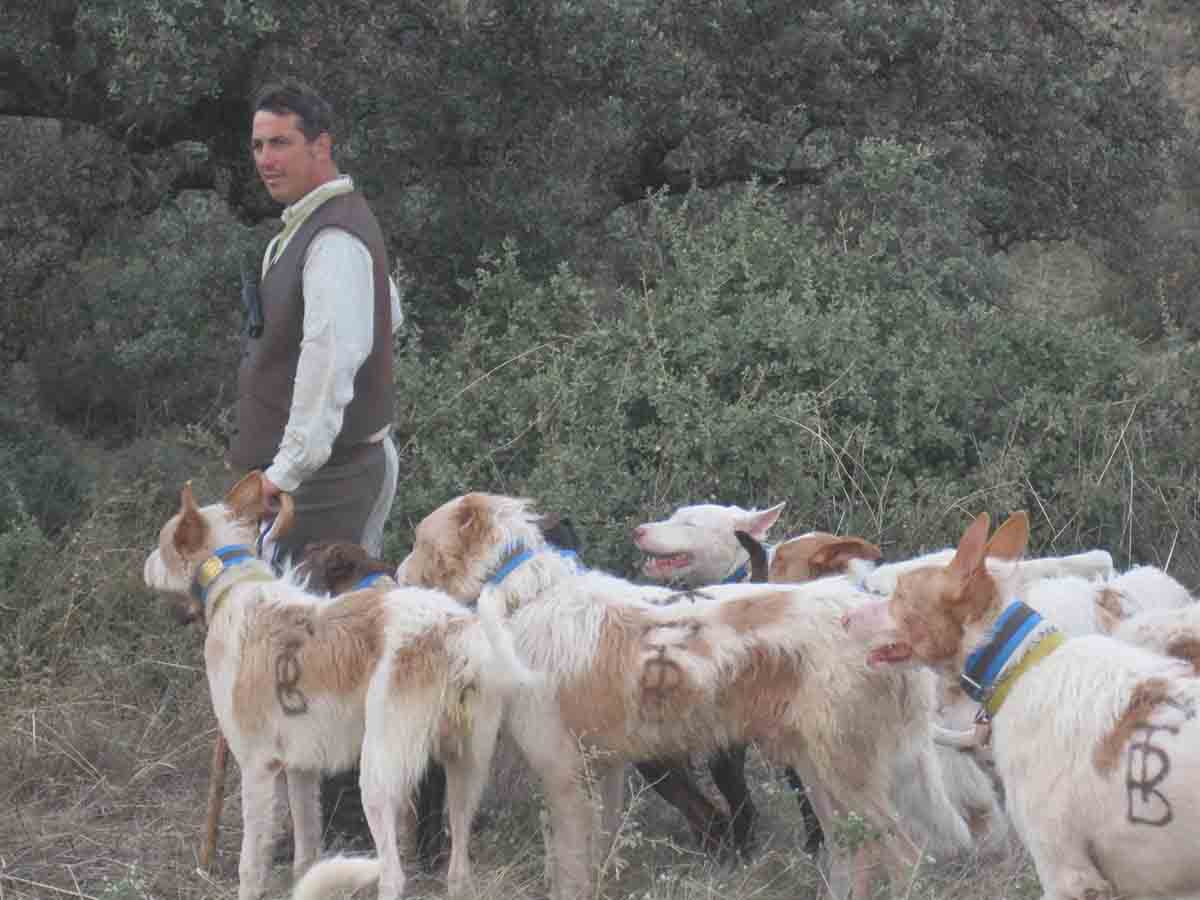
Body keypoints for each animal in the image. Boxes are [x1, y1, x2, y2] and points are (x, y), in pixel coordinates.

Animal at [141, 475, 516, 897]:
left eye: (163, 542)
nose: (144, 565)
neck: (232, 588)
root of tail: (450, 629)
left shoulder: (257, 769)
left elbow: (250, 866)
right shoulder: (301, 770)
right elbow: (306, 853)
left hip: (378, 777)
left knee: (393, 872)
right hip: (464, 772)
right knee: (458, 869)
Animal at [398, 494, 979, 900]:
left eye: (418, 542)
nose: (397, 577)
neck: (532, 594)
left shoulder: (565, 774)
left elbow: (570, 872)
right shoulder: (604, 773)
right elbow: (596, 860)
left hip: (846, 772)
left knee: (905, 855)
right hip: (821, 774)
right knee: (850, 852)